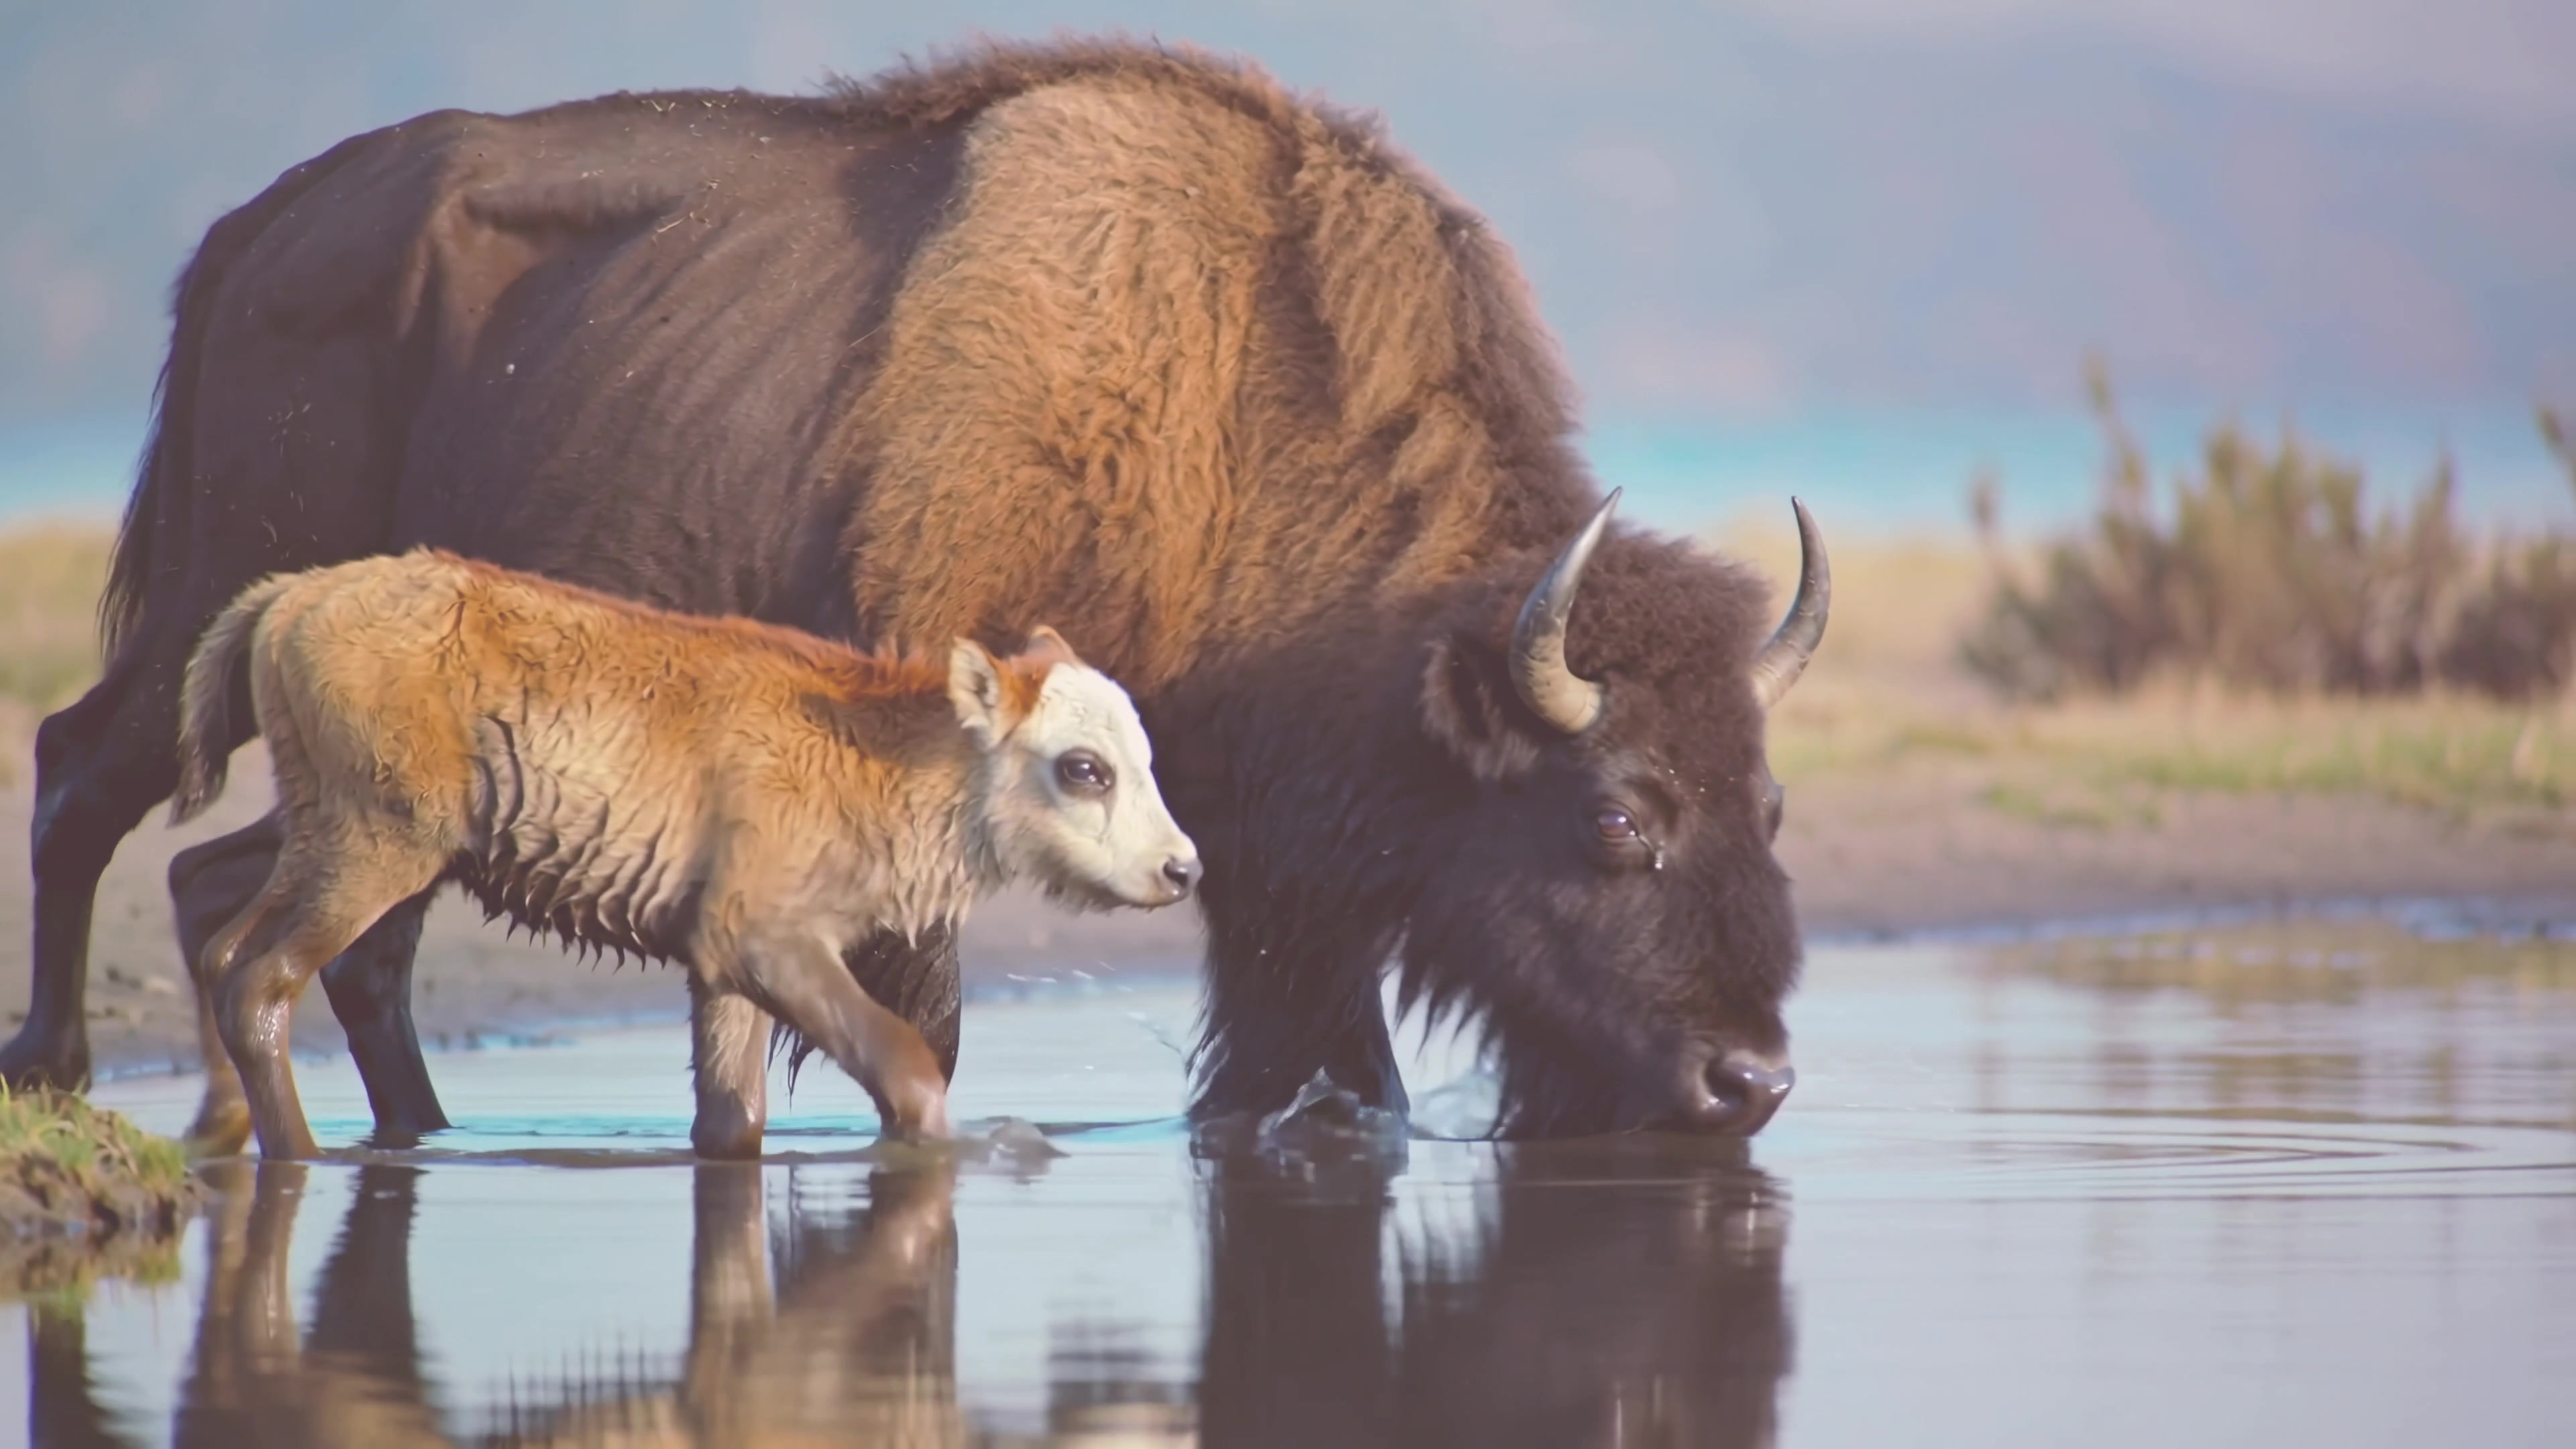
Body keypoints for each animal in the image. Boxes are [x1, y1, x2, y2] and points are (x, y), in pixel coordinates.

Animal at [170, 550, 1198, 1159]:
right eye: (1083, 768)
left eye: (1148, 758)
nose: (1180, 868)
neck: (880, 756)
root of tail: (290, 597)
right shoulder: (760, 937)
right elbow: (904, 1058)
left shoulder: (720, 963)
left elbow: (731, 1119)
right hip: (381, 841)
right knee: (259, 977)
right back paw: (299, 1153)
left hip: (322, 824)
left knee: (206, 905)